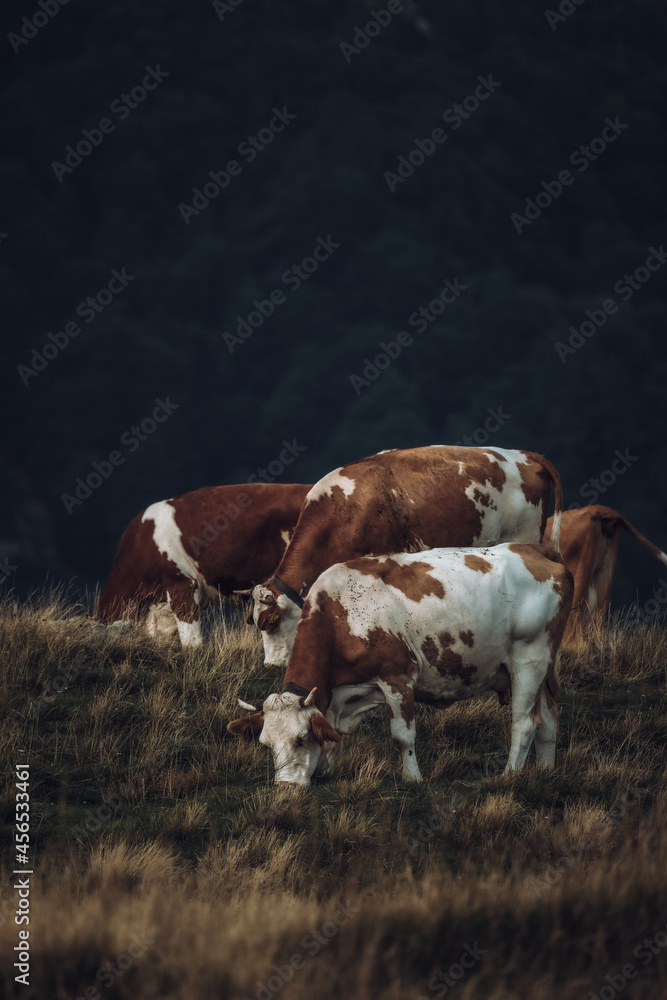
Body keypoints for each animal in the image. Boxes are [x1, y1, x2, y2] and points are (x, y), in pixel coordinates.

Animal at [230, 544, 576, 784]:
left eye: (300, 739)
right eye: (265, 744)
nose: (286, 787)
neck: (339, 613)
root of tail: (534, 549)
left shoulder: (397, 678)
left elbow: (402, 737)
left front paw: (413, 779)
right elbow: (333, 735)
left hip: (529, 658)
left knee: (525, 722)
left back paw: (509, 776)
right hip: (543, 666)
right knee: (549, 718)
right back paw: (545, 771)